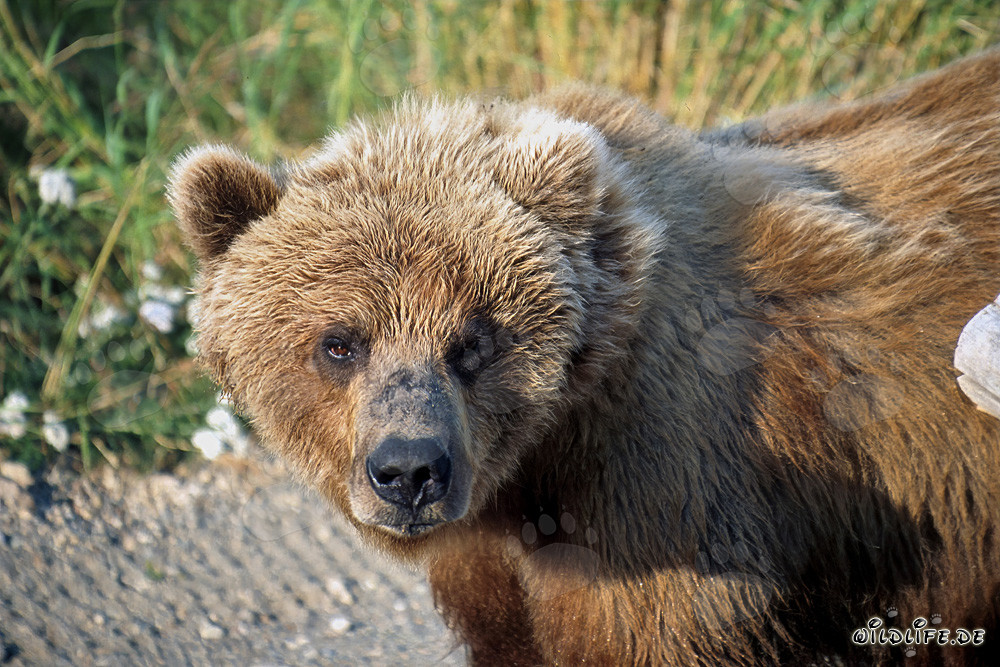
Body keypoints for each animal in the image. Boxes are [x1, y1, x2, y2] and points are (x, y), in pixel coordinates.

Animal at [168, 48, 1000, 666]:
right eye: (339, 341)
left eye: (473, 339)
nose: (409, 470)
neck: (533, 463)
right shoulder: (495, 562)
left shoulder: (665, 503)